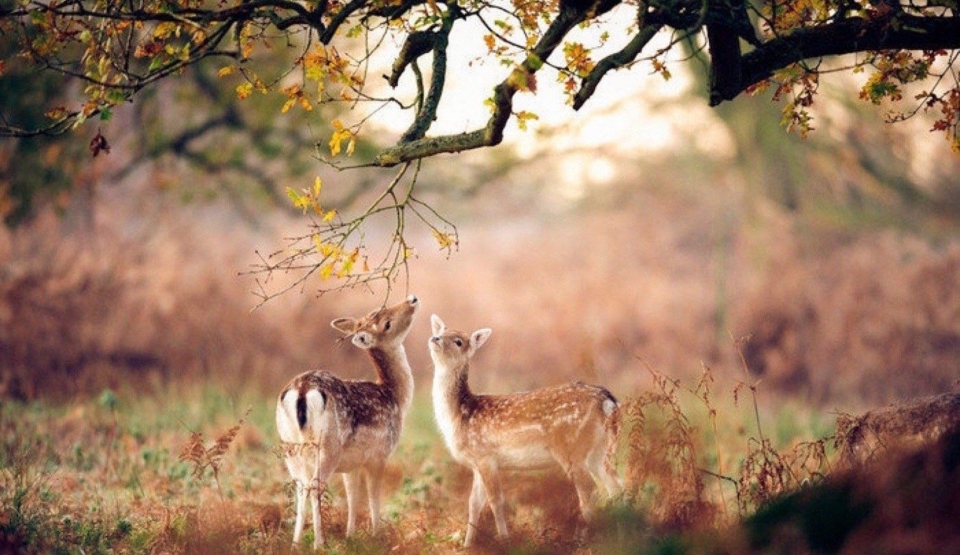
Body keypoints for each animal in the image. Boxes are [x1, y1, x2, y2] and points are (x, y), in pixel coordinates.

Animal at [272, 298, 418, 548]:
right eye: (387, 323)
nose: (412, 300)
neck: (395, 396)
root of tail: (301, 390)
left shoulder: (352, 464)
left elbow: (352, 496)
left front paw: (350, 536)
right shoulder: (379, 454)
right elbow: (373, 496)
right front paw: (376, 536)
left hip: (290, 446)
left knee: (301, 486)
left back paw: (296, 544)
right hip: (328, 445)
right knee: (315, 485)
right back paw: (319, 543)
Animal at [430, 312, 624, 548]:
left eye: (458, 341)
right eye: (440, 331)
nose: (435, 339)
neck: (460, 415)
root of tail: (608, 402)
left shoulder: (486, 456)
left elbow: (496, 501)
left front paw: (504, 541)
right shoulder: (476, 463)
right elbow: (473, 504)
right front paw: (467, 546)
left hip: (572, 449)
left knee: (590, 491)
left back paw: (585, 540)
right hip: (599, 451)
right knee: (615, 485)